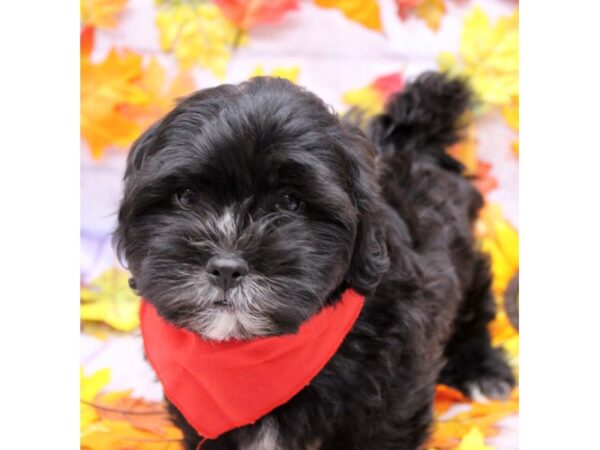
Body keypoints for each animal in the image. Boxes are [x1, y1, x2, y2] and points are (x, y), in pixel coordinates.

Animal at [115, 72, 512, 448]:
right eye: (185, 196)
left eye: (290, 202)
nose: (226, 268)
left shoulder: (394, 389)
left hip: (466, 264)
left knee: (473, 313)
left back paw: (483, 372)